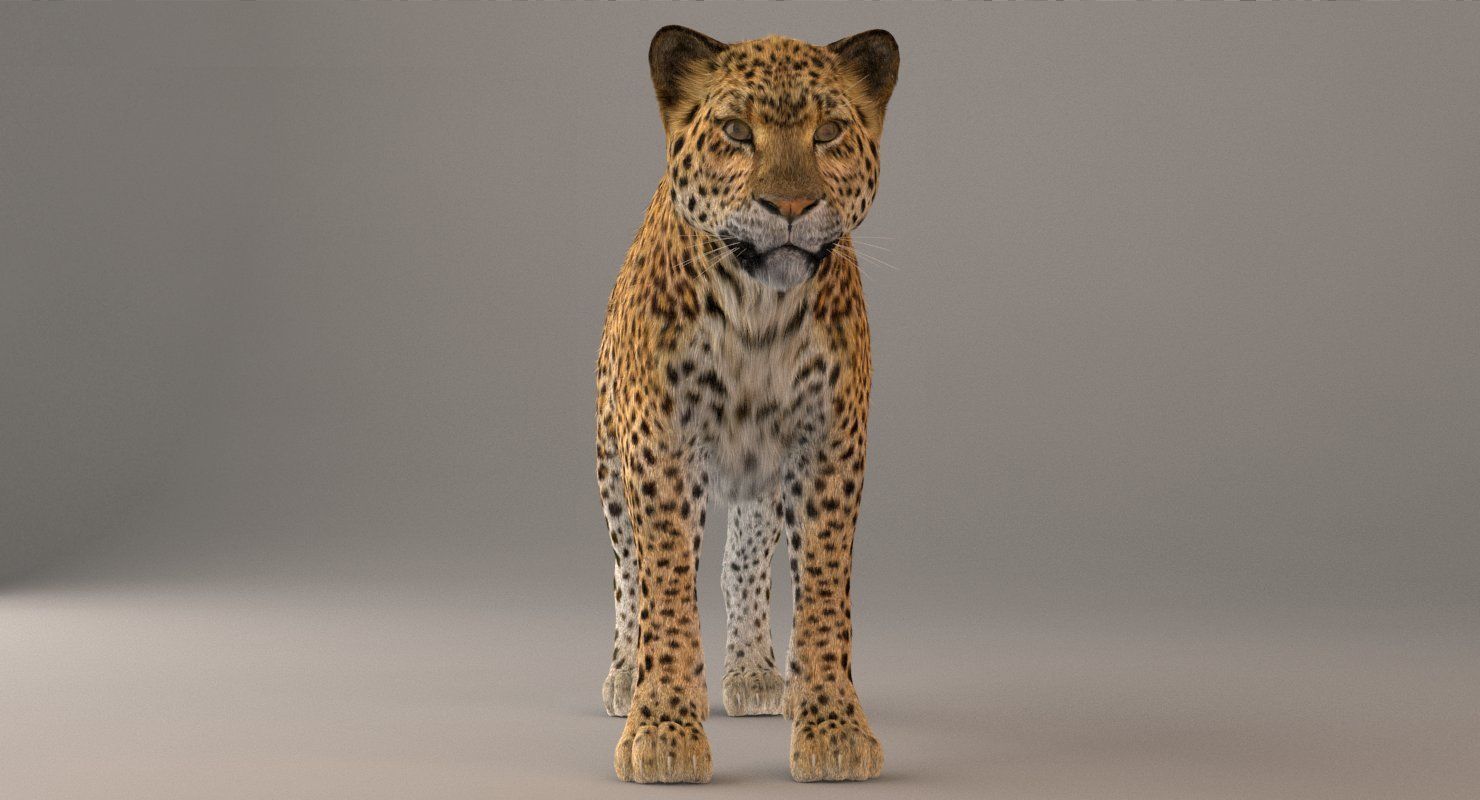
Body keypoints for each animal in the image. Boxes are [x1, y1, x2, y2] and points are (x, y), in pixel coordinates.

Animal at [595, 26, 899, 784]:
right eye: (736, 131)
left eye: (828, 133)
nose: (788, 206)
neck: (760, 314)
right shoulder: (661, 446)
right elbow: (666, 587)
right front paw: (663, 727)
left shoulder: (829, 446)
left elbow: (822, 592)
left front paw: (834, 729)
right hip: (611, 464)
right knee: (627, 571)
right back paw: (624, 676)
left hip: (761, 478)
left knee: (745, 563)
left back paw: (757, 674)